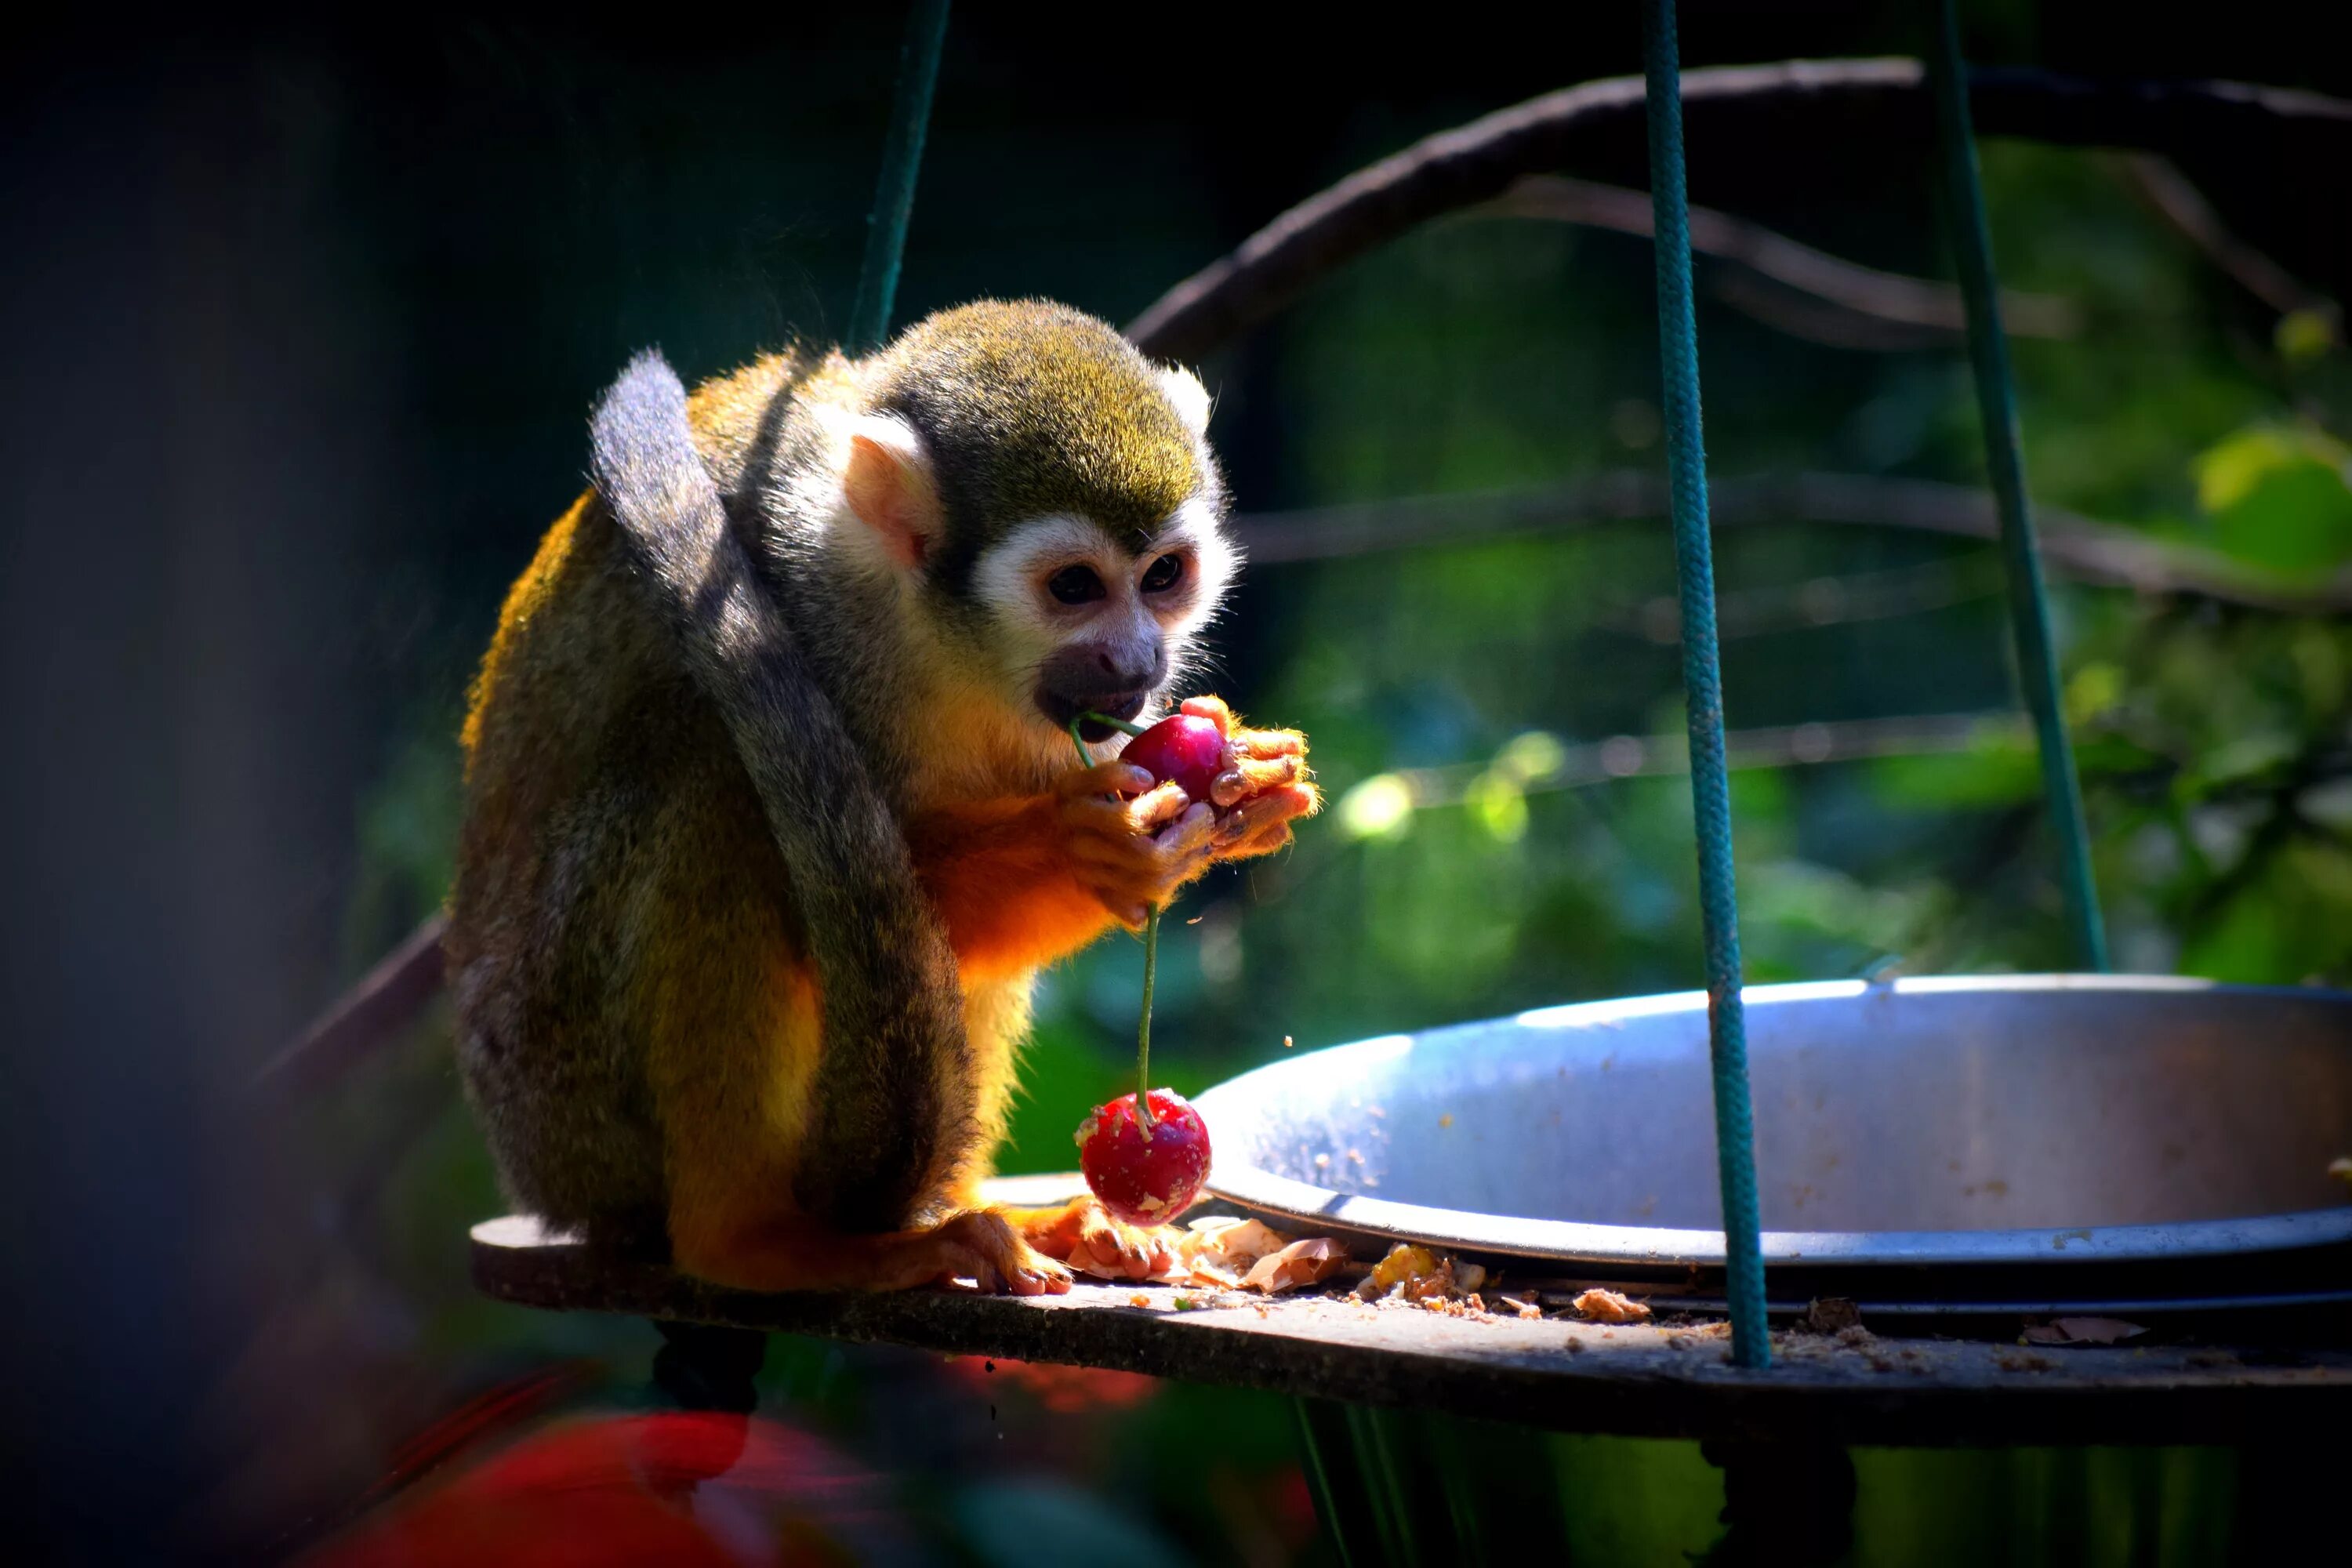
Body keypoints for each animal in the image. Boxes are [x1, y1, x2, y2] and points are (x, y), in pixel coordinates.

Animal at [449, 300, 1317, 1298]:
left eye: (1164, 575)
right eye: (1074, 586)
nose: (1137, 659)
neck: (937, 635)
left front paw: (1249, 781)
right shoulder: (792, 592)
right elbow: (850, 898)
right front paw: (1080, 845)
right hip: (568, 1091)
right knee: (714, 781)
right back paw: (756, 1239)